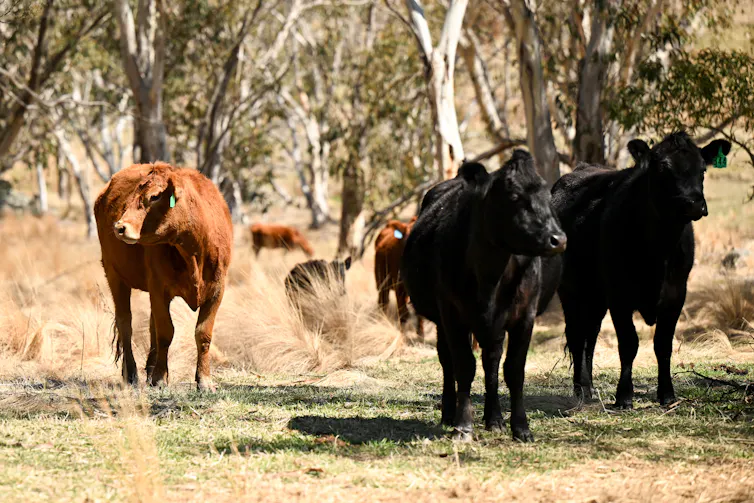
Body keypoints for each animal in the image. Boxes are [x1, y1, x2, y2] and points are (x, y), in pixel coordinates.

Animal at [94, 162, 233, 391]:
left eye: (155, 196)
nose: (120, 227)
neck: (194, 251)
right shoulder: (159, 288)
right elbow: (165, 332)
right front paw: (160, 378)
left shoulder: (217, 290)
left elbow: (203, 334)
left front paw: (204, 380)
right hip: (114, 275)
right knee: (126, 323)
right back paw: (131, 374)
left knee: (150, 324)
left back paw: (150, 370)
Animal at [401, 151, 567, 442]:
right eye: (514, 196)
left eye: (546, 196)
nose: (558, 239)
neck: (491, 275)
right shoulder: (452, 315)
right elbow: (464, 366)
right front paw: (463, 426)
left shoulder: (525, 316)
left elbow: (514, 369)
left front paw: (520, 427)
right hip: (445, 321)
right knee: (448, 361)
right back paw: (449, 414)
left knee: (491, 361)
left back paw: (494, 419)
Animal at [547, 132, 731, 408]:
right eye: (663, 169)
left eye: (703, 169)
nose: (694, 204)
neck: (659, 250)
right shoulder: (619, 295)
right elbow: (628, 343)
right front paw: (624, 395)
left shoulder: (676, 293)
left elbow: (663, 344)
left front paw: (667, 394)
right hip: (571, 290)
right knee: (578, 336)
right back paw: (582, 389)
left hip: (596, 296)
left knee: (591, 335)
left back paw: (590, 388)